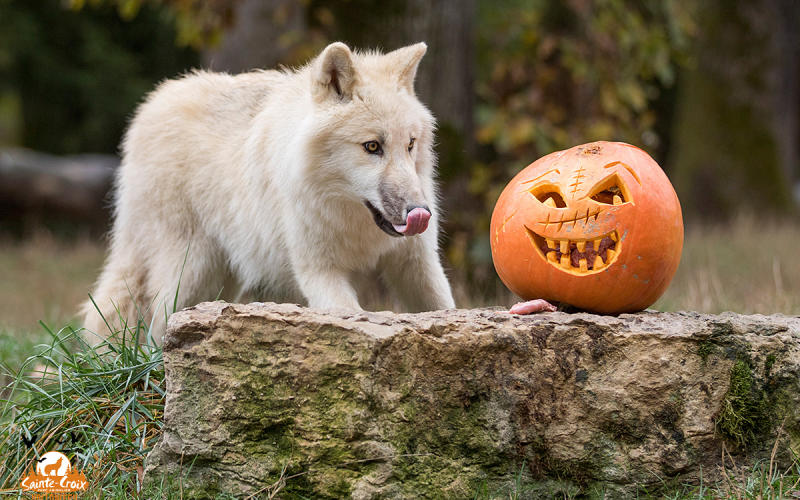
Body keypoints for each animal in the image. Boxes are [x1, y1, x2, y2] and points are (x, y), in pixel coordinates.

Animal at [84, 42, 456, 344]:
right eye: (372, 146)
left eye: (410, 144)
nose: (420, 212)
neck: (353, 221)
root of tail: (152, 102)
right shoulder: (319, 271)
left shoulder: (418, 265)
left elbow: (445, 307)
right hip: (190, 271)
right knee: (156, 326)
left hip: (221, 279)